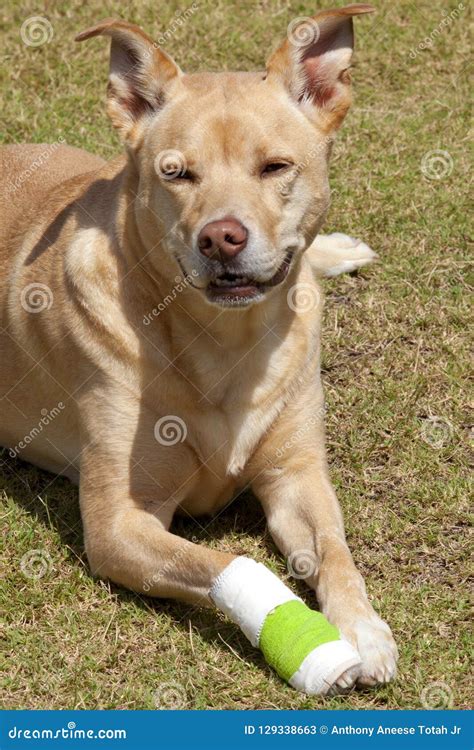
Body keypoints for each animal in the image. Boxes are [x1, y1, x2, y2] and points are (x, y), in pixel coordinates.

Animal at [0, 5, 396, 696]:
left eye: (275, 167)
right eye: (175, 173)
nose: (221, 238)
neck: (225, 343)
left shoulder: (297, 473)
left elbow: (335, 550)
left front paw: (362, 628)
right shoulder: (118, 526)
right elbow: (229, 560)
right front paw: (315, 647)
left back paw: (334, 253)